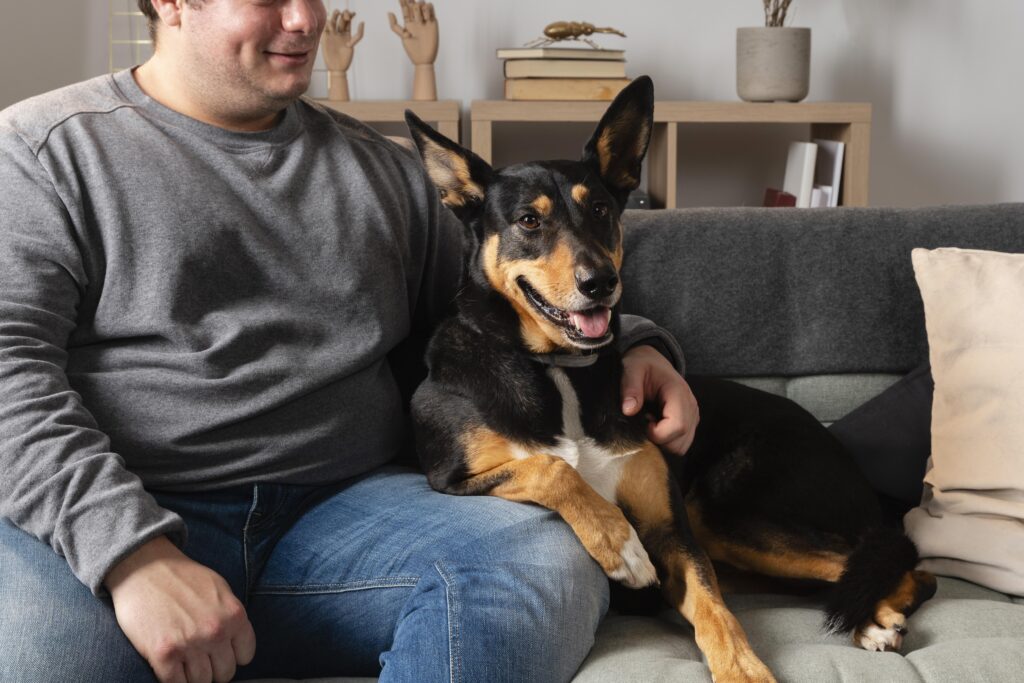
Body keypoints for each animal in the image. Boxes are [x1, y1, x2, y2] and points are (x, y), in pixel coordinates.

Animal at [399, 77, 937, 679]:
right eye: (529, 221)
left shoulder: (673, 531)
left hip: (721, 513)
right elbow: (551, 468)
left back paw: (874, 618)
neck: (561, 369)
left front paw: (743, 669)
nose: (600, 283)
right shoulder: (448, 477)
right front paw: (620, 546)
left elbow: (715, 611)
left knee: (898, 563)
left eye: (602, 209)